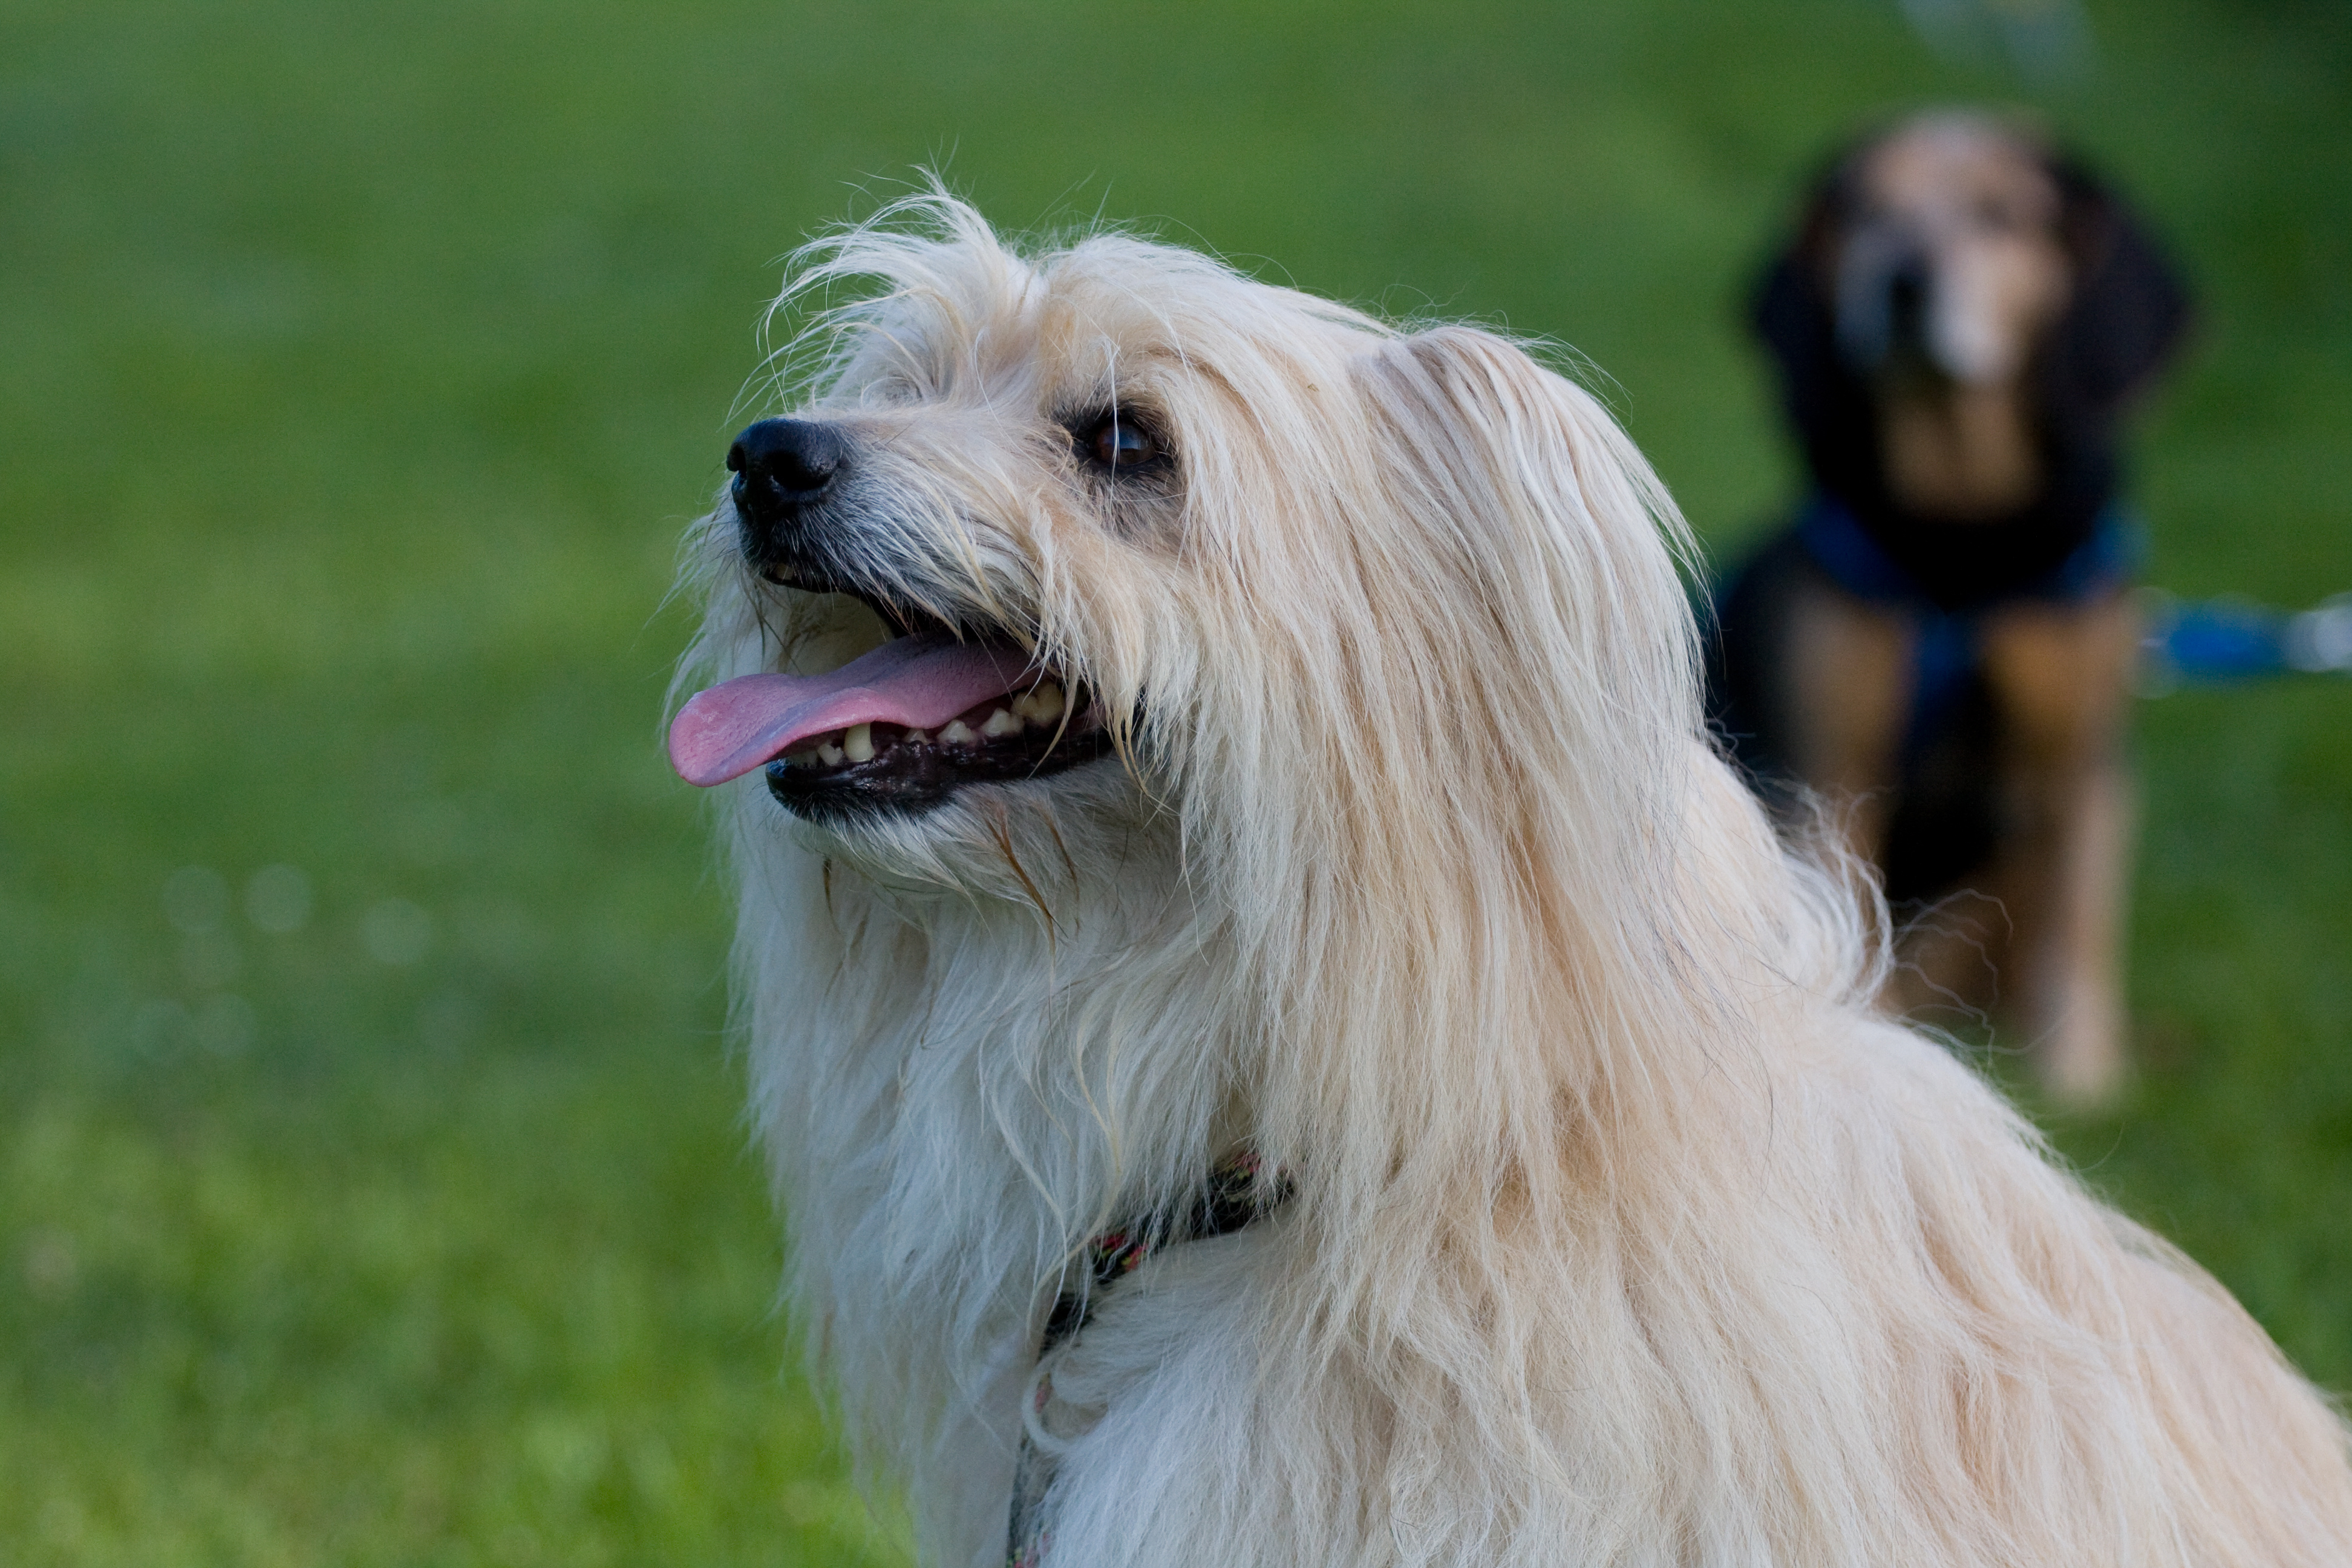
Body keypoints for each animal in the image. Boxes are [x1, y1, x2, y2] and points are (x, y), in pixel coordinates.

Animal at [1702, 113, 2192, 1105]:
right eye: (1864, 210)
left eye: (2001, 215)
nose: (1901, 280)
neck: (1957, 556)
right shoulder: (1828, 768)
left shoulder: (2083, 766)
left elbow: (2077, 931)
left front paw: (2081, 1082)